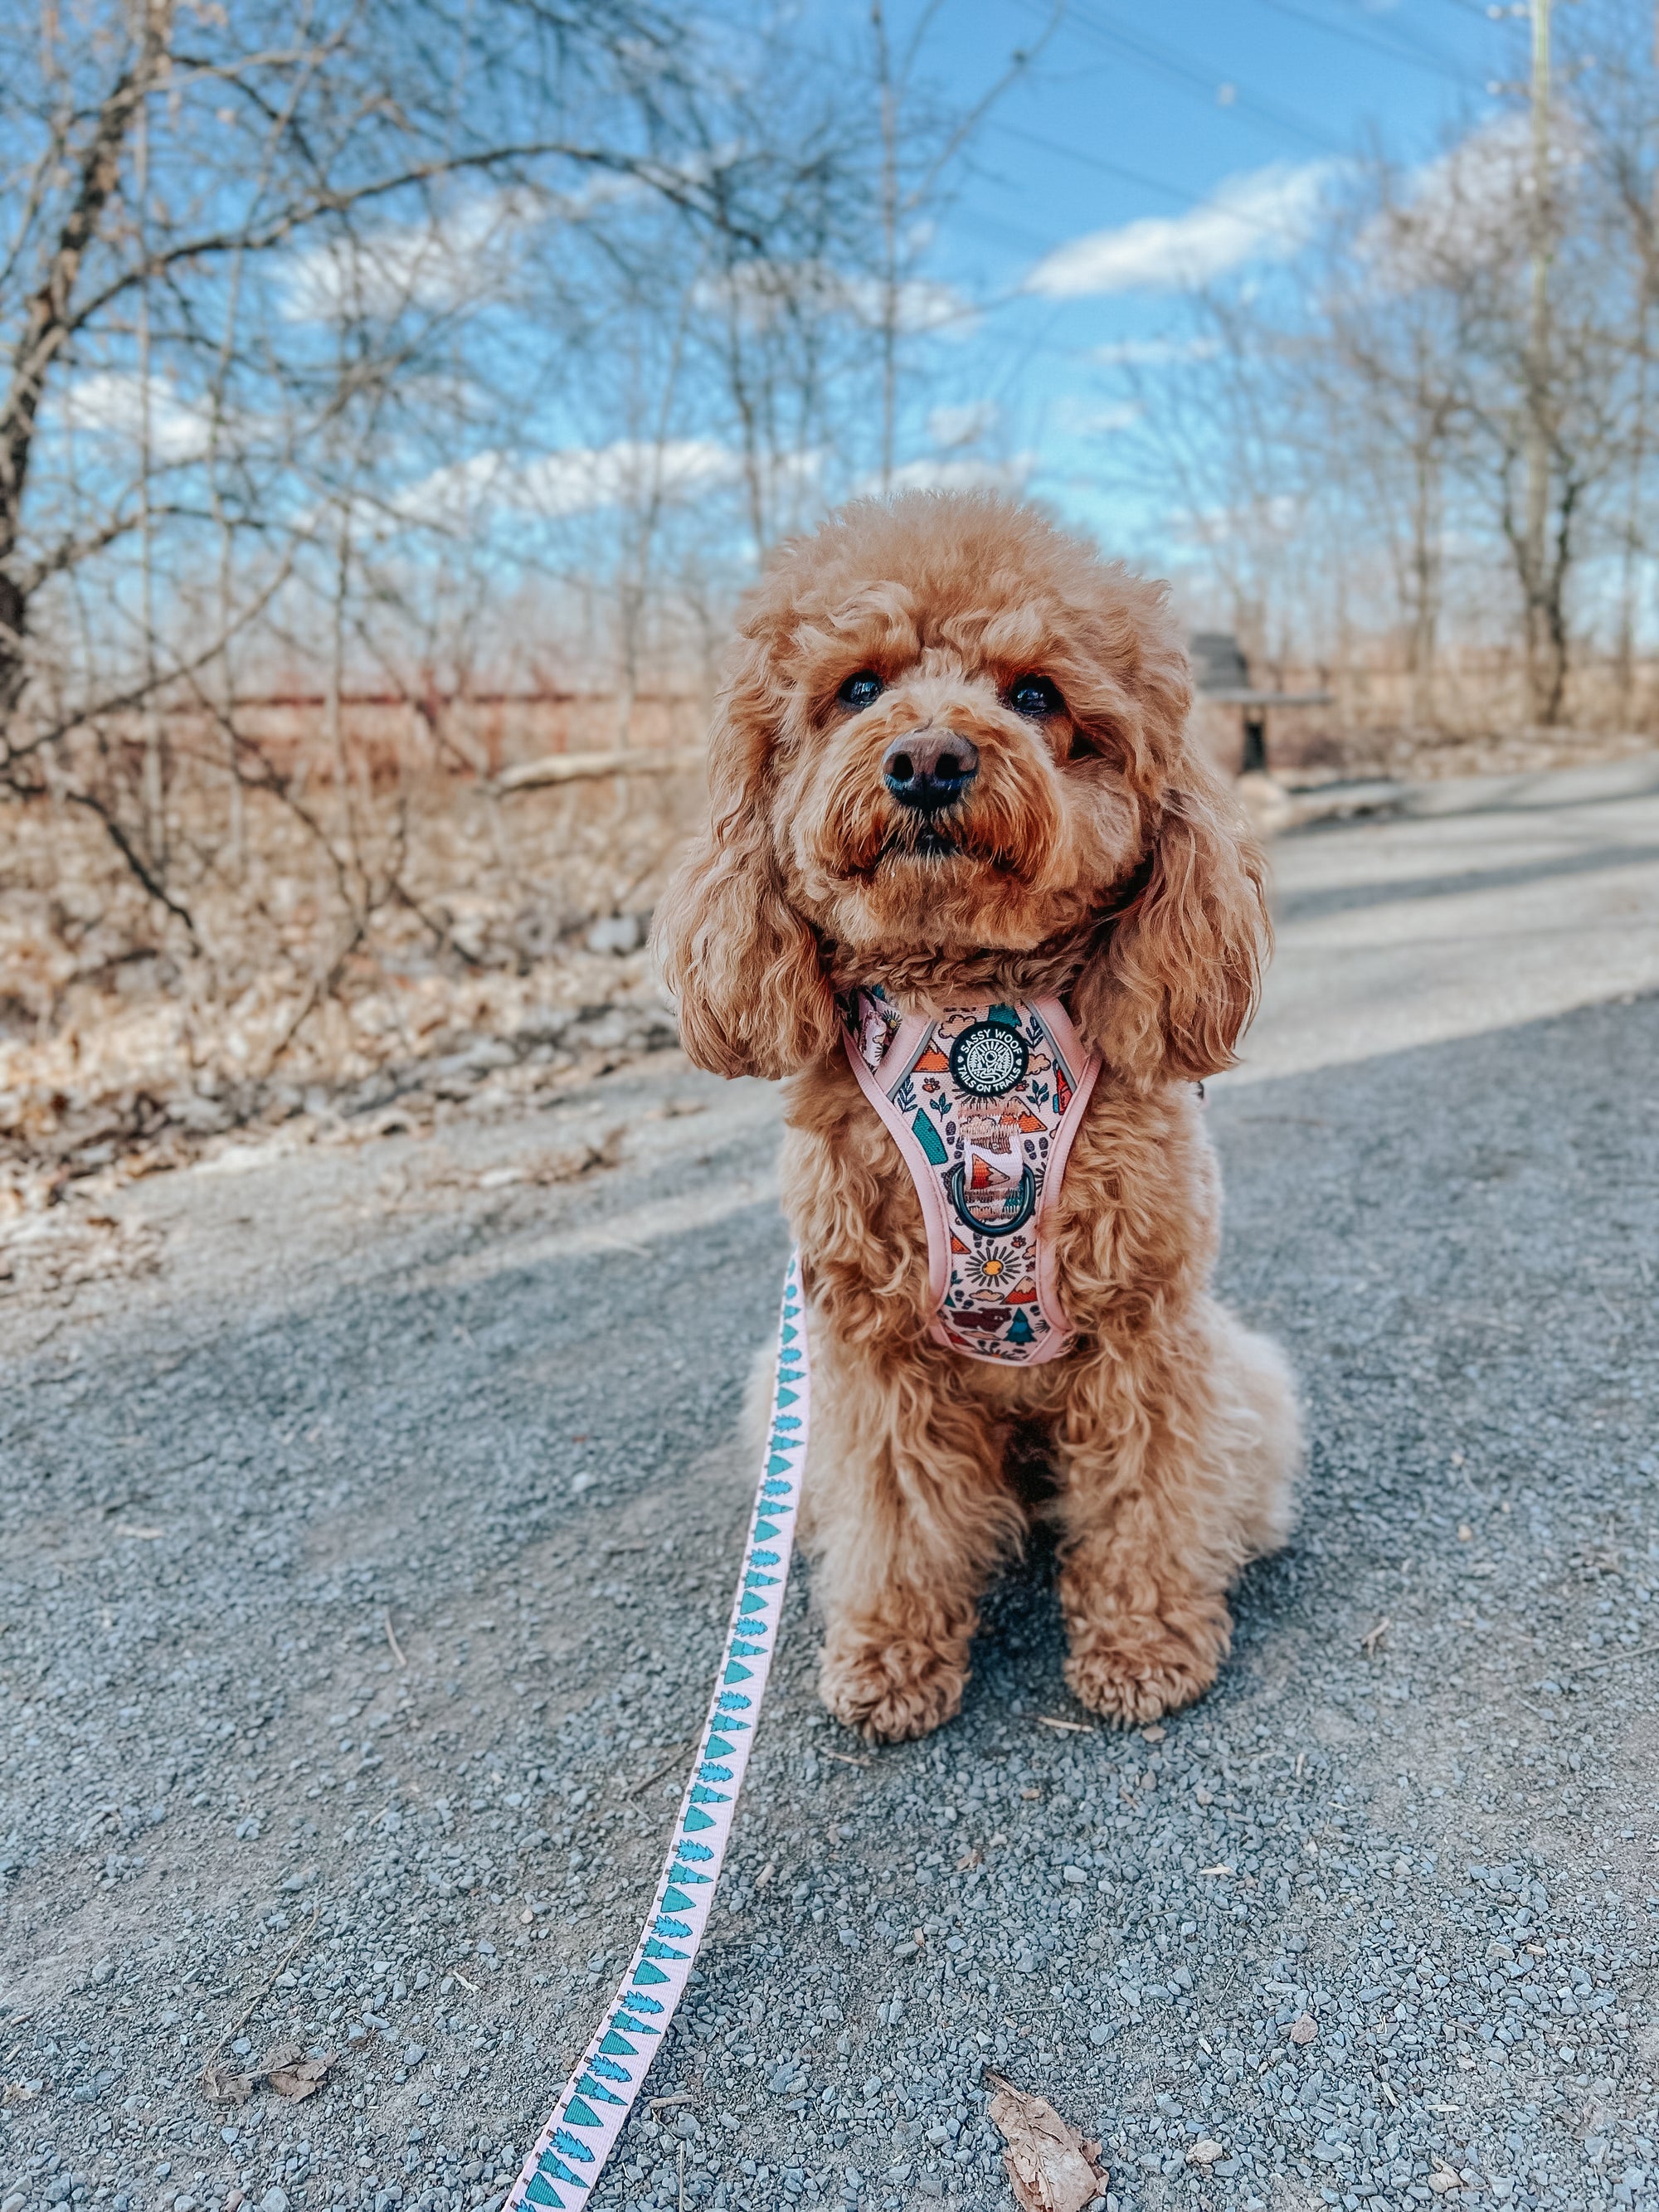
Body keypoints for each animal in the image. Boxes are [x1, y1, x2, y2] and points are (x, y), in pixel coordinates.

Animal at [654, 493, 1309, 1733]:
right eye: (858, 687)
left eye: (1037, 694)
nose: (926, 758)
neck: (971, 1010)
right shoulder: (867, 1354)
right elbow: (897, 1512)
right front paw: (890, 1655)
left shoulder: (1144, 1330)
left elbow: (1146, 1493)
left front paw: (1144, 1644)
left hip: (1233, 1374)